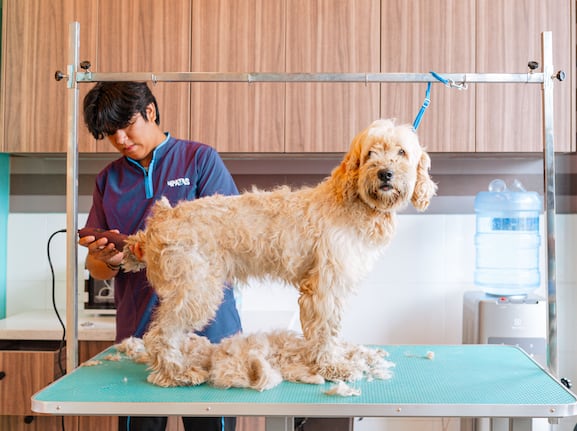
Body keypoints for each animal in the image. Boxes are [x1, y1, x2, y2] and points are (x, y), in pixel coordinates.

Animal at [122, 118, 437, 387]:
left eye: (401, 151)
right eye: (371, 153)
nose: (385, 173)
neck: (350, 202)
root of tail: (163, 217)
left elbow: (329, 329)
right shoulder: (324, 288)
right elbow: (325, 330)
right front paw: (331, 366)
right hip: (195, 290)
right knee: (159, 334)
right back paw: (176, 372)